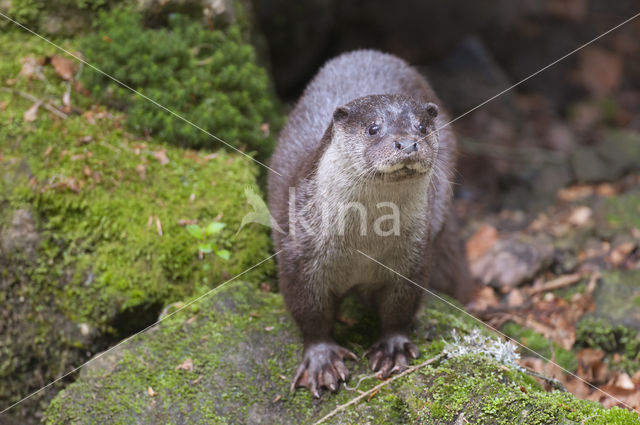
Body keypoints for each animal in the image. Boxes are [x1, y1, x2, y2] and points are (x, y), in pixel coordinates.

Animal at [264, 49, 470, 398]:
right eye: (374, 128)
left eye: (422, 127)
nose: (407, 143)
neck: (364, 240)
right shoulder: (299, 254)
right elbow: (309, 311)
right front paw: (322, 360)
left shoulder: (415, 256)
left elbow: (400, 307)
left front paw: (393, 348)